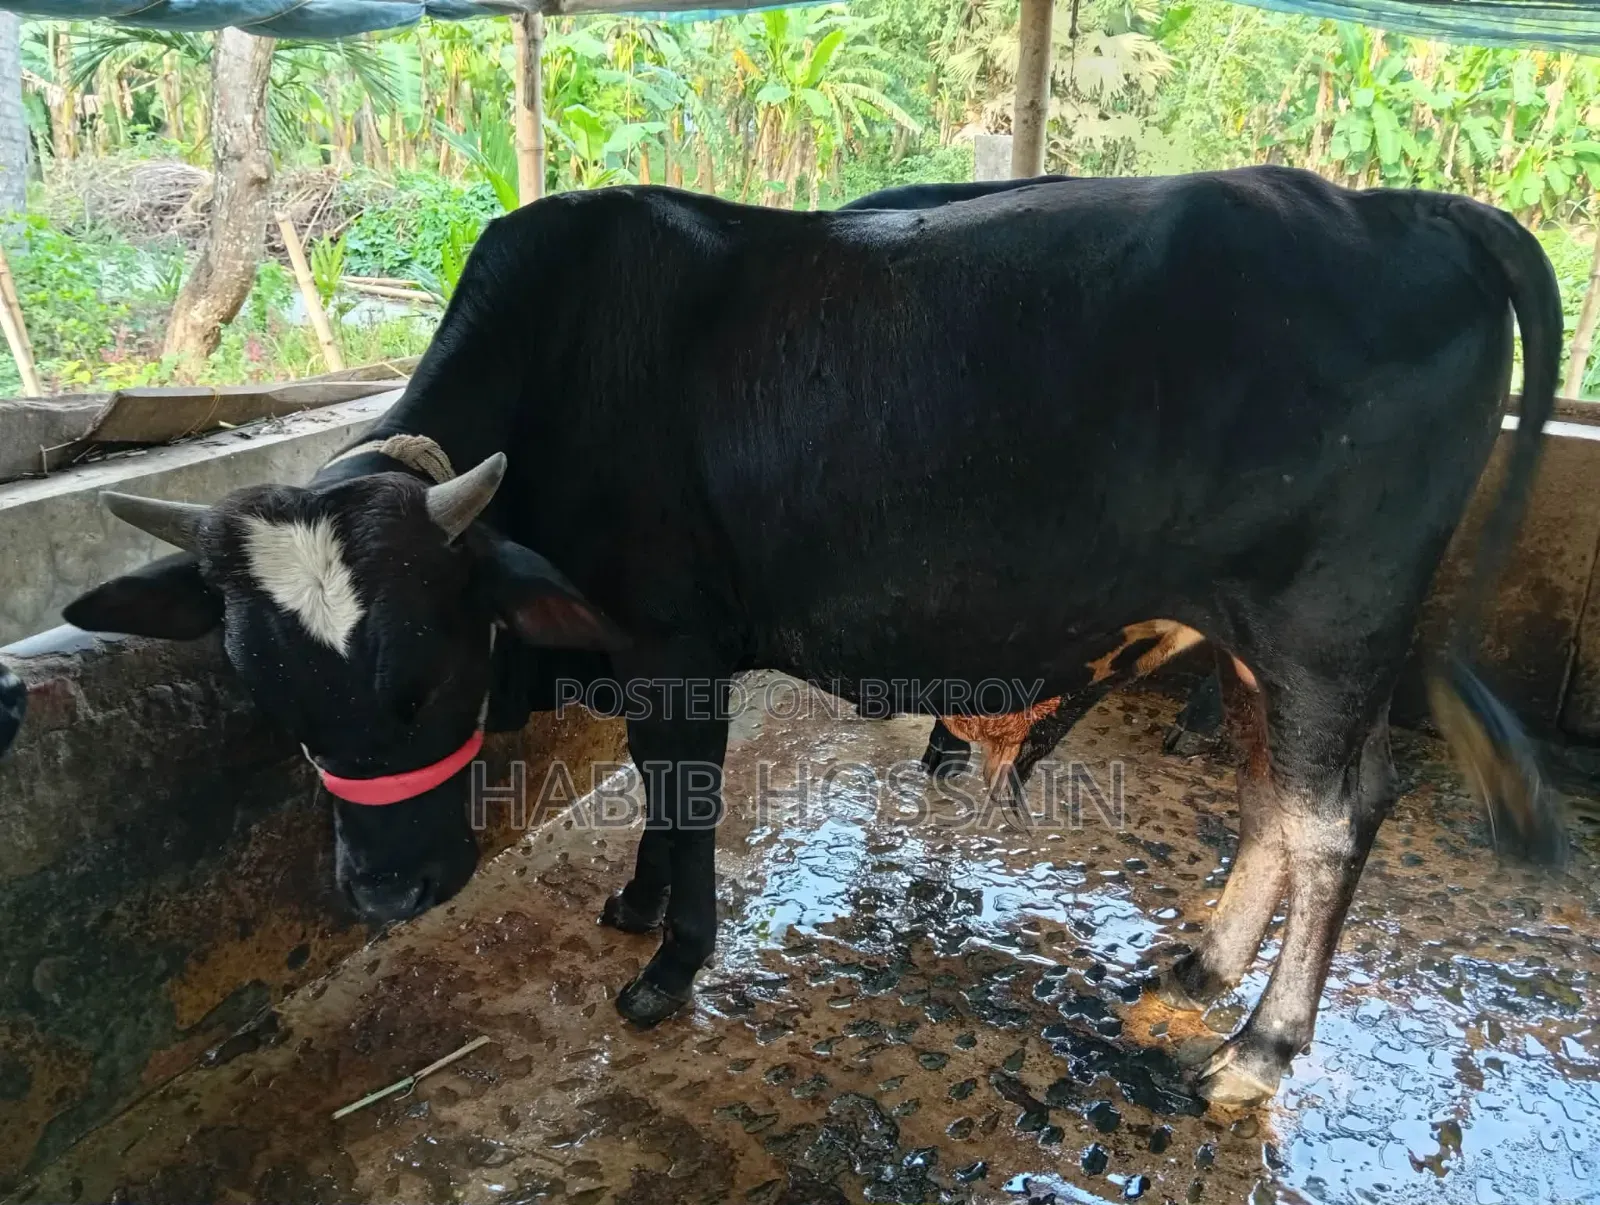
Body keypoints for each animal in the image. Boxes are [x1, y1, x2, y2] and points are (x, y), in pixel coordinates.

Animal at [61, 167, 1566, 1104]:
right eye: (268, 691)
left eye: (427, 668)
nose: (383, 893)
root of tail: (1396, 206)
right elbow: (654, 795)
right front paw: (636, 904)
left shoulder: (673, 641)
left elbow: (683, 790)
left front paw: (671, 961)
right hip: (1259, 630)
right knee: (1289, 796)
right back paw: (1202, 962)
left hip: (1328, 624)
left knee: (1334, 815)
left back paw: (1258, 1047)